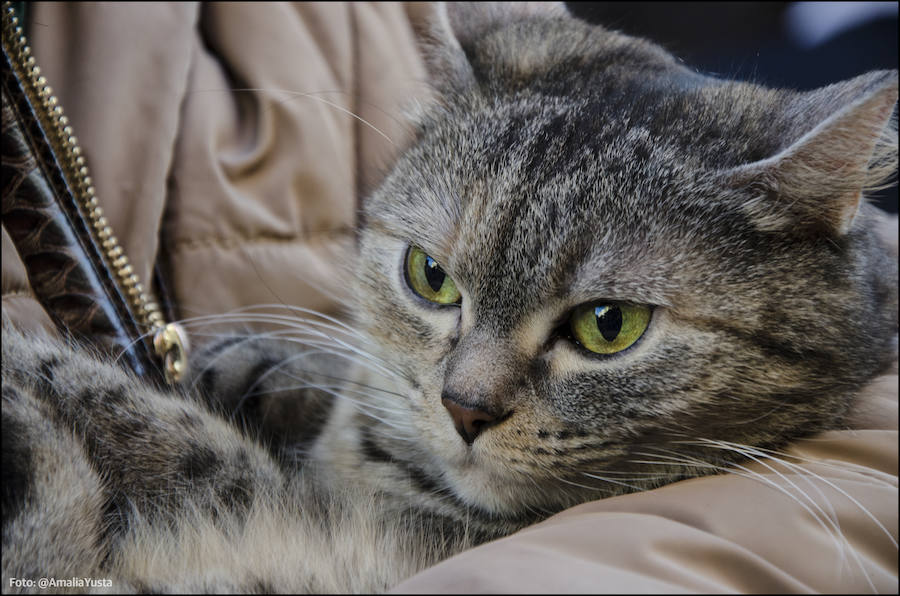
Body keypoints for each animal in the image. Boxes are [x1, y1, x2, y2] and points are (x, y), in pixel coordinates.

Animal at [3, 2, 896, 592]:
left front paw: (41, 370)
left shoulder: (352, 536)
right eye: (431, 276)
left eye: (610, 326)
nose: (465, 409)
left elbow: (199, 453)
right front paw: (269, 366)